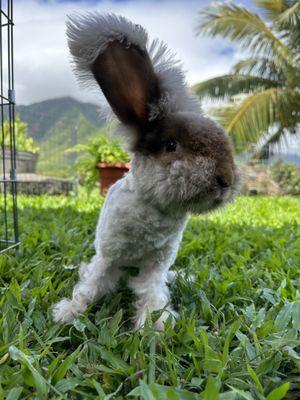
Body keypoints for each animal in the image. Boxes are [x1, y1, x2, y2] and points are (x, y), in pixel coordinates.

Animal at [52, 14, 238, 330]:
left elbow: (152, 291)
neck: (155, 206)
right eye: (171, 145)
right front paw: (68, 313)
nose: (227, 180)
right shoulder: (109, 255)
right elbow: (91, 285)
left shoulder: (157, 263)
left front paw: (153, 327)